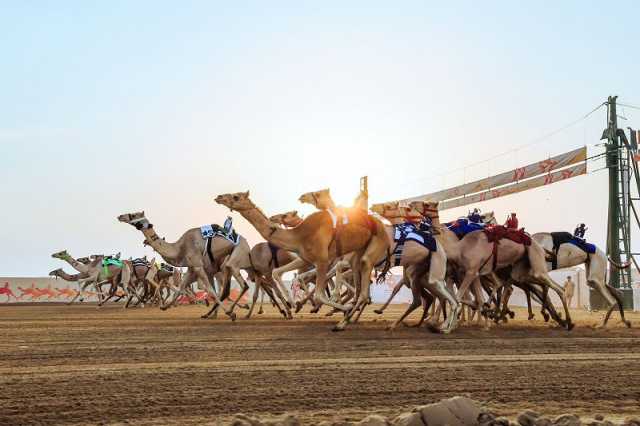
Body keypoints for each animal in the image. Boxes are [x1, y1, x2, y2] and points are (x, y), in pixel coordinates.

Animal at [215, 191, 388, 332]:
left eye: (236, 197)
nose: (219, 197)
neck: (299, 235)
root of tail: (382, 226)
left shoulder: (322, 260)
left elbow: (319, 294)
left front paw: (340, 308)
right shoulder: (305, 259)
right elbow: (279, 273)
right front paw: (292, 303)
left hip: (372, 249)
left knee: (363, 288)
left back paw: (342, 322)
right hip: (356, 254)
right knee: (359, 290)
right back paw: (346, 318)